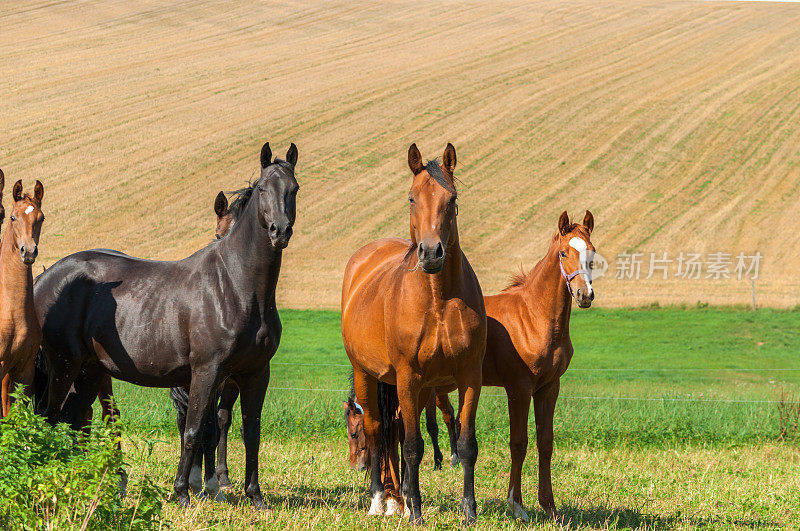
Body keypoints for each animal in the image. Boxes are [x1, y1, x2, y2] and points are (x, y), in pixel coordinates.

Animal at [31, 143, 300, 510]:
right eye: (262, 189)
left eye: (294, 189)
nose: (279, 231)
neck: (236, 285)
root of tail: (45, 278)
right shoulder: (207, 371)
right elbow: (193, 430)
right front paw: (183, 492)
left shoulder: (256, 373)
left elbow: (251, 431)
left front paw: (255, 496)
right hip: (64, 366)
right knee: (50, 416)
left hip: (90, 371)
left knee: (72, 420)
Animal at [340, 143, 484, 524]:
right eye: (411, 198)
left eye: (452, 198)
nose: (431, 252)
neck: (438, 300)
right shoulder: (408, 377)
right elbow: (412, 446)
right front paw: (416, 511)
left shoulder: (469, 377)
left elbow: (466, 444)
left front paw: (468, 511)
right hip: (368, 375)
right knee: (378, 430)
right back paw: (381, 499)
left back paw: (399, 498)